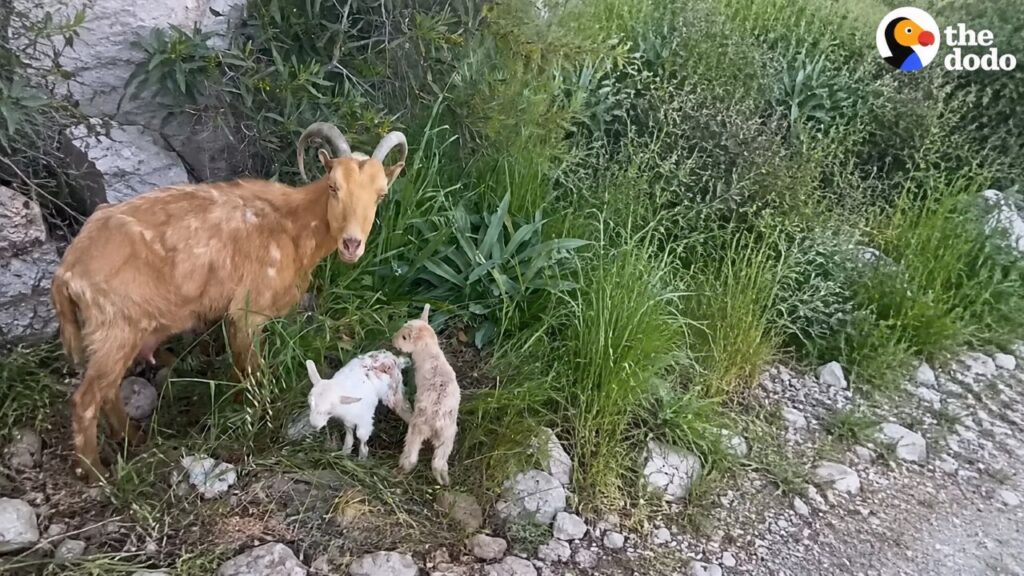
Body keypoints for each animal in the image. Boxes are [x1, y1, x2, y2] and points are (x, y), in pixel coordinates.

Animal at [50, 122, 408, 481]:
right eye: (334, 187)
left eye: (380, 194)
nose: (351, 244)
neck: (291, 225)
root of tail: (67, 270)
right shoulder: (248, 311)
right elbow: (253, 372)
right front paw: (256, 417)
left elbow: (239, 370)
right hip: (116, 330)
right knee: (85, 400)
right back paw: (95, 471)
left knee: (108, 390)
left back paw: (133, 439)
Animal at [392, 305, 461, 485]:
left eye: (404, 337)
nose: (393, 340)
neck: (430, 349)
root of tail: (436, 419)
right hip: (448, 434)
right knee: (439, 460)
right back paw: (444, 479)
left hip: (418, 427)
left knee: (411, 455)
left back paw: (401, 470)